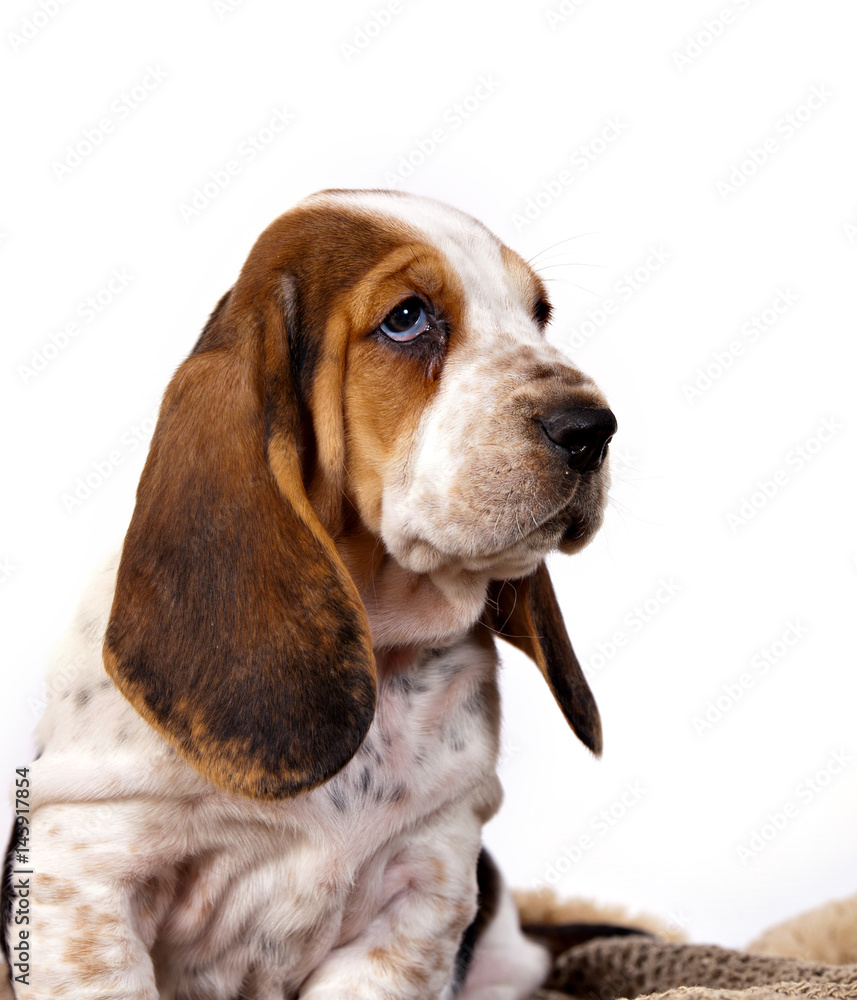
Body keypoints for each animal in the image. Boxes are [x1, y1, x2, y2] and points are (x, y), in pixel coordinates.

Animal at [0, 189, 616, 1000]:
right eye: (407, 317)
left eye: (539, 314)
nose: (594, 429)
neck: (381, 637)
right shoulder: (87, 869)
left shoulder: (425, 886)